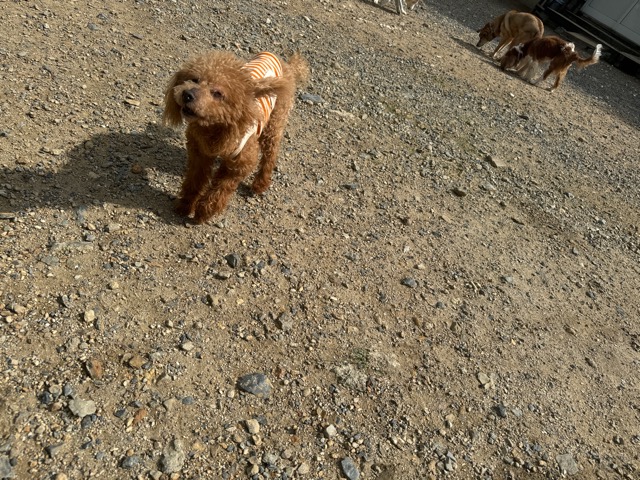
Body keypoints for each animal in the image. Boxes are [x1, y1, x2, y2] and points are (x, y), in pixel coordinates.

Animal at [163, 51, 309, 223]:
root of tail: (285, 64)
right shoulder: (199, 153)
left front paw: (204, 212)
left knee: (270, 155)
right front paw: (185, 205)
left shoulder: (241, 163)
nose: (187, 94)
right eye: (194, 79)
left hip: (274, 124)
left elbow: (221, 188)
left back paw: (261, 183)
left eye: (217, 93)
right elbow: (194, 181)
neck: (215, 128)